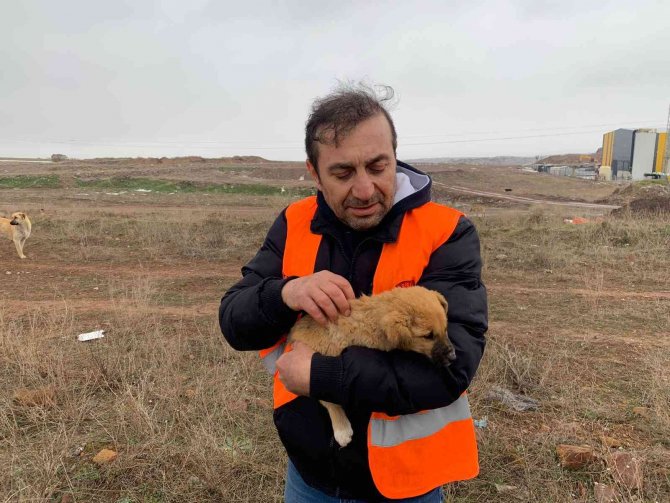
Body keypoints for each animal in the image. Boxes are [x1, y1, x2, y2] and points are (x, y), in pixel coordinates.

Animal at [288, 286, 456, 446]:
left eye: (445, 328)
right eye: (428, 336)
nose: (453, 357)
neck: (371, 322)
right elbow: (327, 396)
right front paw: (341, 429)